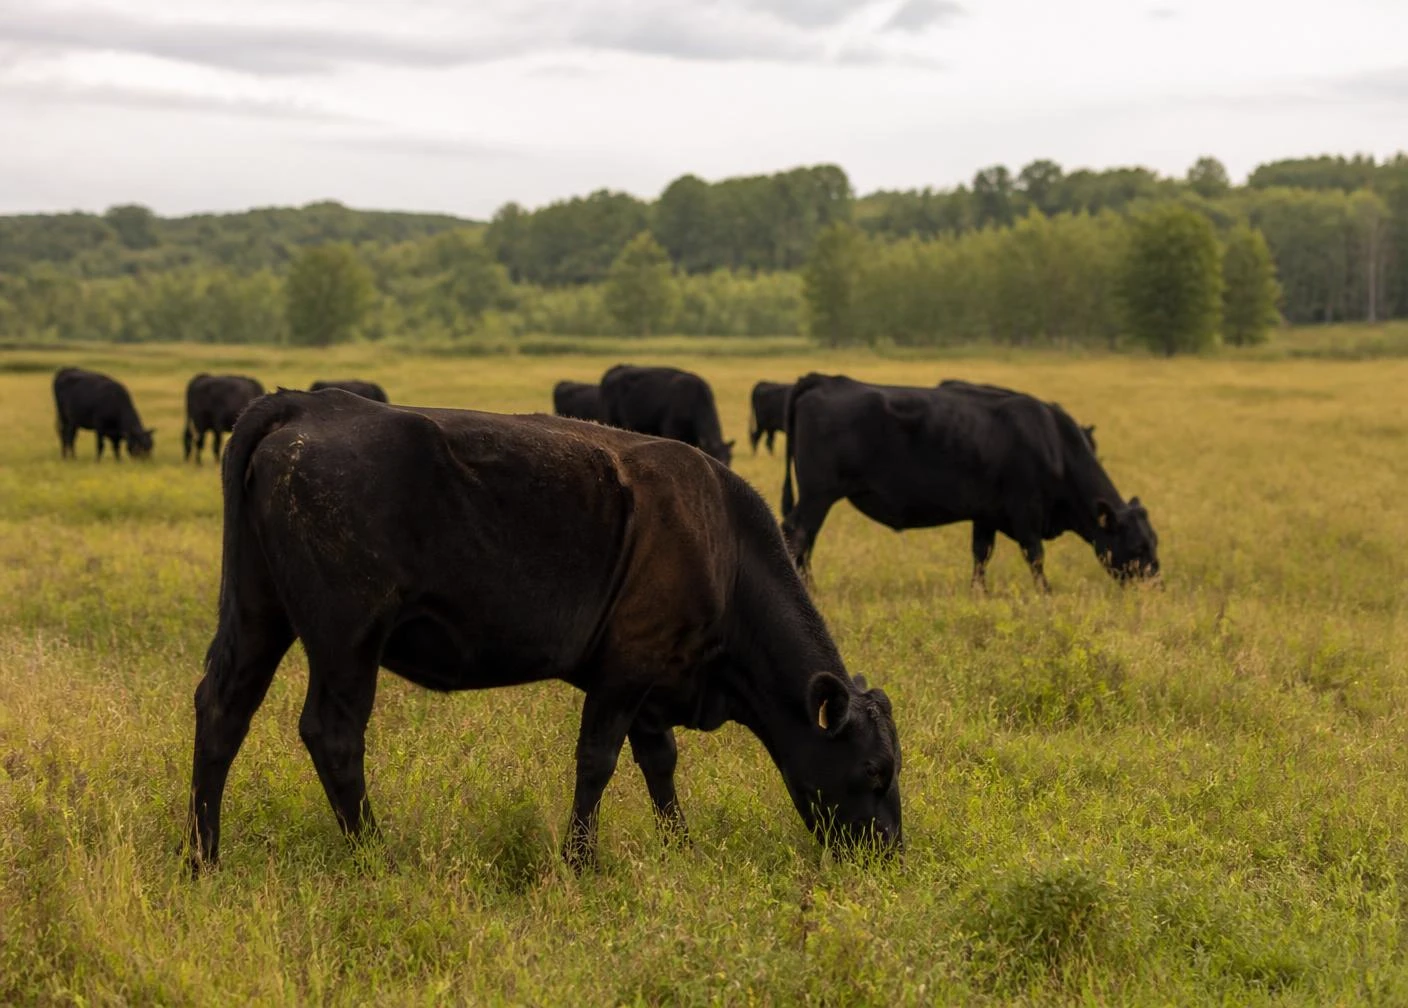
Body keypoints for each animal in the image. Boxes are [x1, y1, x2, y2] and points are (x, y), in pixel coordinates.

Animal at [188, 390, 902, 873]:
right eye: (873, 771)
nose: (890, 855)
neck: (724, 548)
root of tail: (306, 404)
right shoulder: (626, 670)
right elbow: (598, 761)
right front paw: (580, 861)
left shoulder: (652, 681)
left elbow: (660, 761)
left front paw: (680, 845)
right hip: (347, 638)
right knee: (332, 733)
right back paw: (374, 855)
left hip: (257, 612)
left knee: (223, 710)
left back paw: (203, 858)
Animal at [780, 373, 1159, 591]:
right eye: (1139, 546)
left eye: (1155, 542)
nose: (1156, 584)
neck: (1054, 445)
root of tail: (824, 379)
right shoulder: (1026, 511)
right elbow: (1035, 555)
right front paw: (1045, 593)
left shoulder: (986, 514)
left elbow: (981, 554)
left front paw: (979, 593)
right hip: (818, 494)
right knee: (798, 536)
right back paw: (809, 589)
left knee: (805, 539)